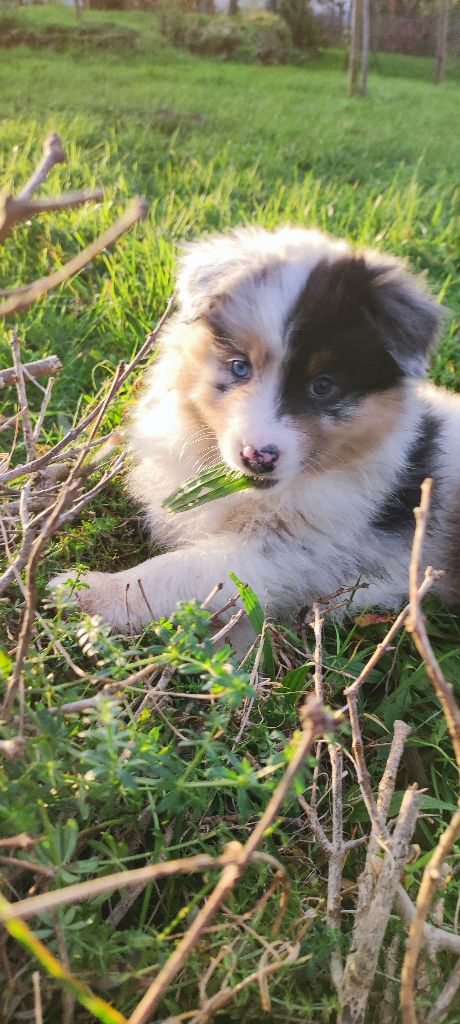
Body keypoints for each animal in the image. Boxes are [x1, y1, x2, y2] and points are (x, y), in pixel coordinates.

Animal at [51, 228, 458, 634]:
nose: (257, 457)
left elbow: (178, 571)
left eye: (323, 386)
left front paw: (86, 590)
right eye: (239, 366)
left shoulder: (297, 549)